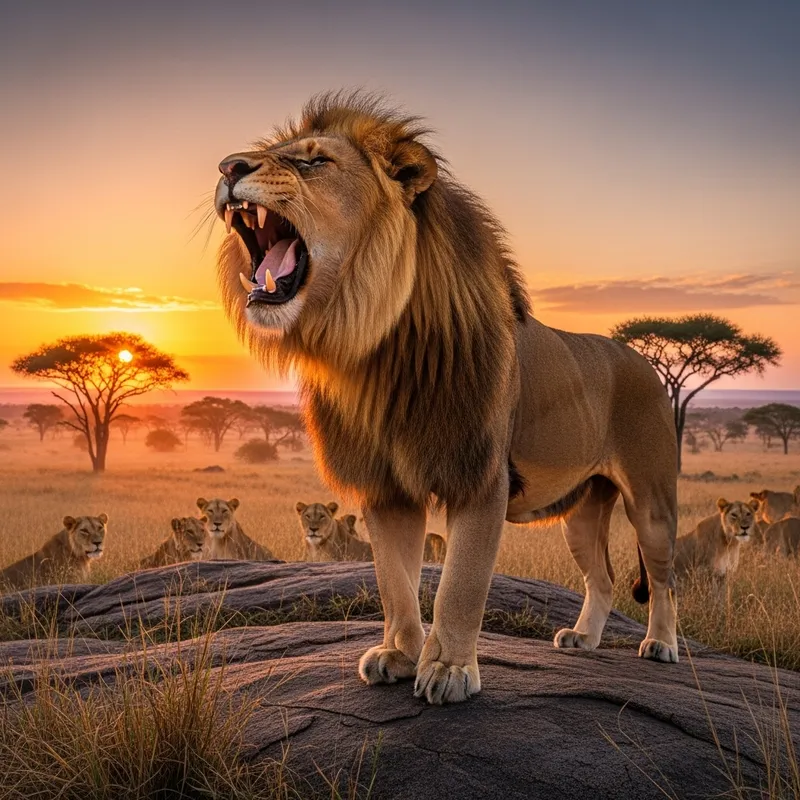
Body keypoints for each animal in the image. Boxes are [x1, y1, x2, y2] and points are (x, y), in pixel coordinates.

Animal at [214, 92, 679, 704]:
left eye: (313, 162)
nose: (227, 168)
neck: (372, 349)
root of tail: (642, 360)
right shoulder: (384, 486)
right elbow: (394, 582)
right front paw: (399, 654)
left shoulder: (481, 476)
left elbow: (461, 582)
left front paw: (450, 670)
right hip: (581, 510)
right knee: (599, 576)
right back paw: (583, 639)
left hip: (650, 500)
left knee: (666, 577)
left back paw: (663, 646)